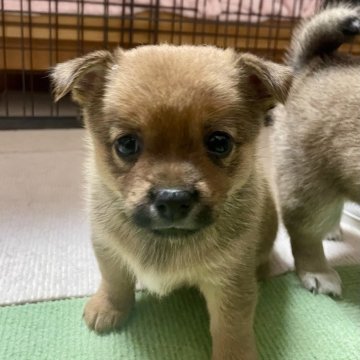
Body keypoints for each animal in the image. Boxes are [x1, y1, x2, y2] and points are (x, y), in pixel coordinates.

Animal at [51, 45, 292, 360]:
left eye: (220, 142)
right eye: (126, 144)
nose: (174, 199)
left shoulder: (231, 280)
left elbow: (231, 327)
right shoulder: (108, 248)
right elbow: (115, 280)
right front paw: (109, 307)